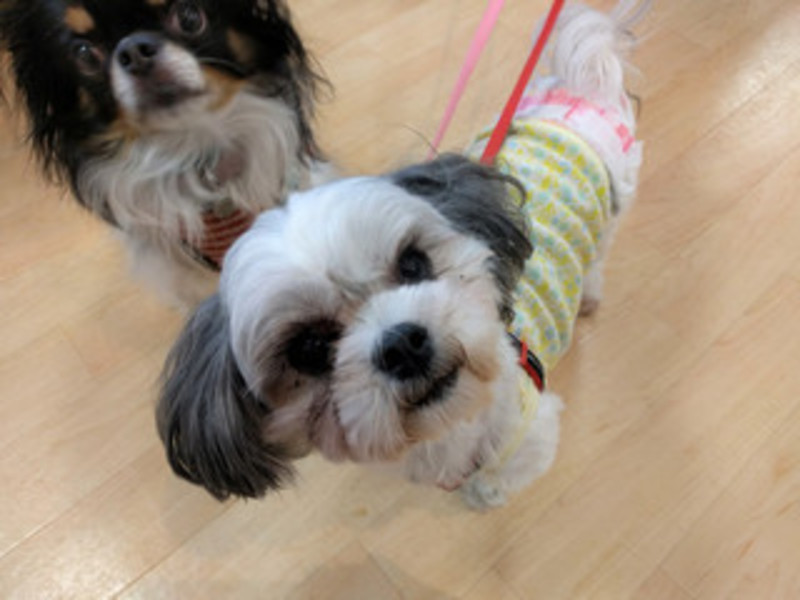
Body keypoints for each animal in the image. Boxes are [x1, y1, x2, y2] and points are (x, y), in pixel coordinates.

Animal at [157, 1, 646, 509]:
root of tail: (578, 86)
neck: (450, 429)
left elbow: (500, 475)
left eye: (413, 263)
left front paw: (483, 493)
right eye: (308, 349)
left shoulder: (531, 435)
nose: (402, 344)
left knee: (600, 255)